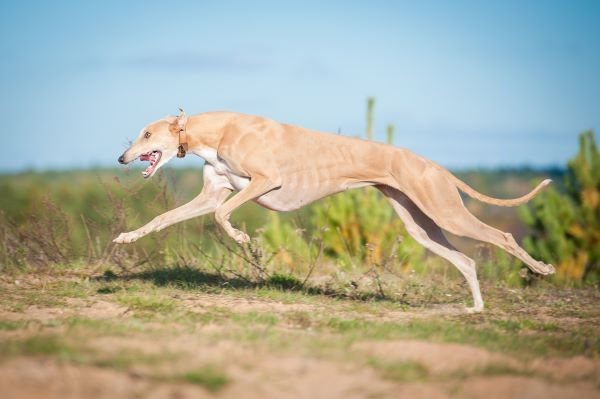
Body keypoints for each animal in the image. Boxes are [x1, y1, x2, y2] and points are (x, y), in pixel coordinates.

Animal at [115, 108, 556, 312]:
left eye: (147, 134)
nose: (121, 158)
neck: (216, 129)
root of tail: (436, 166)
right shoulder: (213, 192)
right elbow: (164, 218)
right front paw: (126, 237)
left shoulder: (265, 181)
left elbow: (223, 216)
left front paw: (242, 238)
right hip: (420, 225)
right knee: (466, 260)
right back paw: (476, 308)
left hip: (445, 211)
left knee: (502, 235)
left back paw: (542, 268)